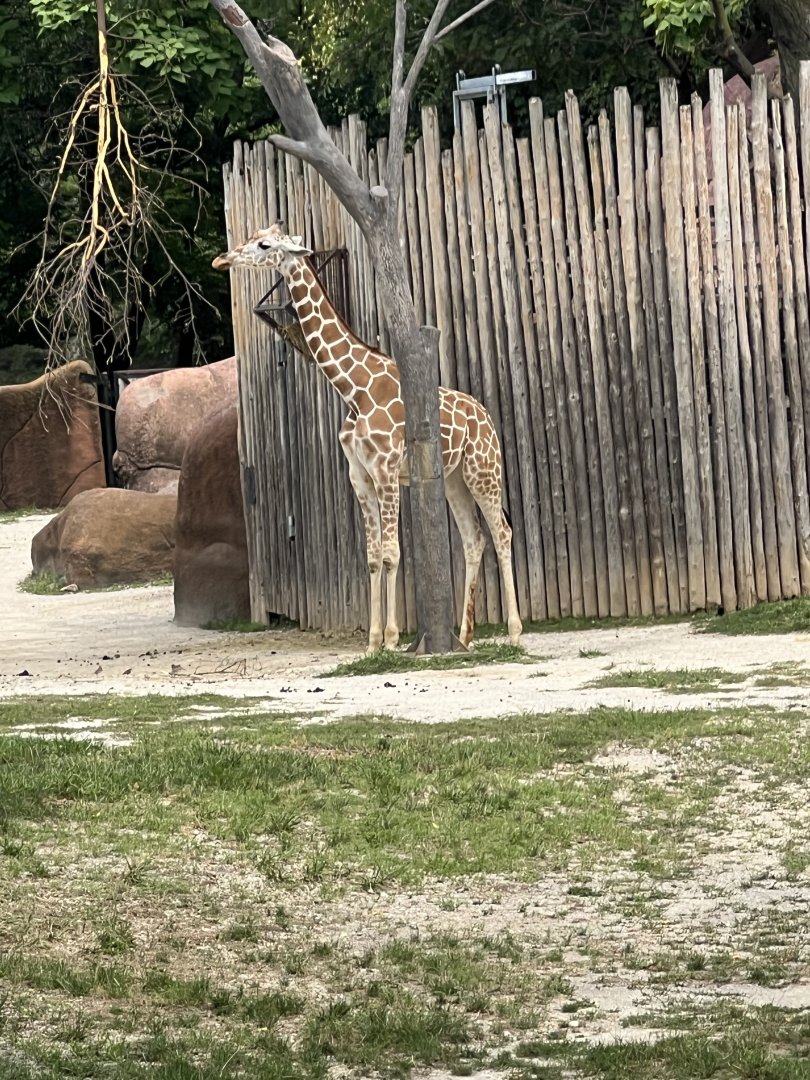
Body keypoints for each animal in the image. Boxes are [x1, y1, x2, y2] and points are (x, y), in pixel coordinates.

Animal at [213, 223, 522, 653]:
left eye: (264, 244)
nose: (222, 259)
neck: (353, 389)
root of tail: (487, 418)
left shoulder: (387, 470)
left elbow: (392, 552)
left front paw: (391, 638)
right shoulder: (358, 475)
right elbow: (374, 556)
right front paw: (373, 641)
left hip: (484, 471)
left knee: (502, 533)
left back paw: (514, 630)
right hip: (453, 481)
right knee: (474, 539)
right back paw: (464, 635)